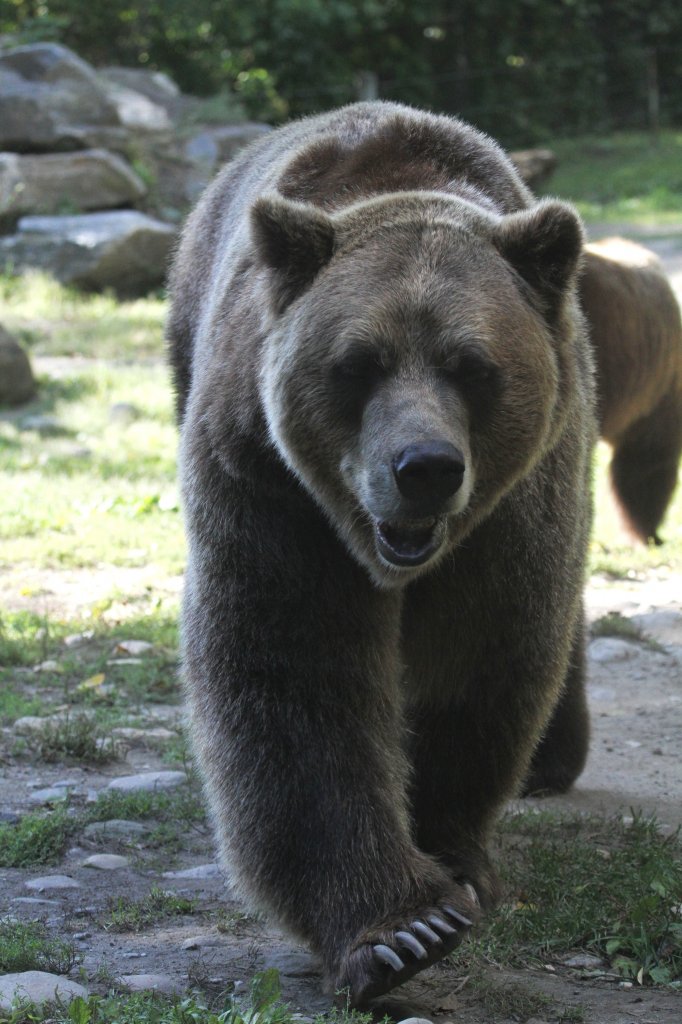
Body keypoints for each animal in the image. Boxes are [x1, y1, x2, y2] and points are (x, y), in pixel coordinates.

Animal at [165, 105, 593, 1007]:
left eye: (474, 366)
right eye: (358, 363)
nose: (423, 468)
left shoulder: (511, 512)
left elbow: (483, 659)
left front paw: (454, 857)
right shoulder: (272, 485)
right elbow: (296, 678)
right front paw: (403, 930)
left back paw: (552, 759)